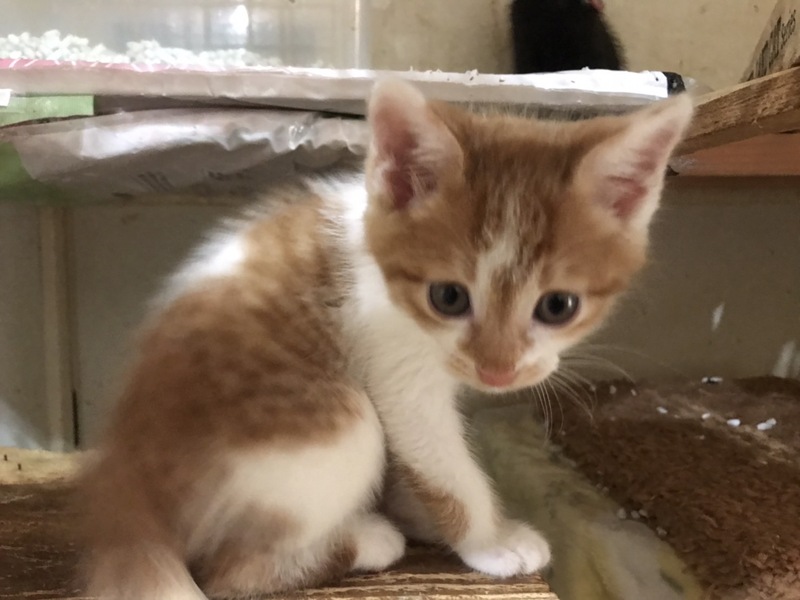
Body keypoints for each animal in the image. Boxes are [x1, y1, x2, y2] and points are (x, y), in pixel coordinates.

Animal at [78, 78, 692, 599]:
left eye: (558, 306)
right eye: (448, 297)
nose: (496, 370)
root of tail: (126, 478)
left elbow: (420, 468)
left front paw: (423, 515)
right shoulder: (394, 364)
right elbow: (442, 462)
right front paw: (488, 539)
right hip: (332, 421)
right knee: (231, 573)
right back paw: (365, 539)